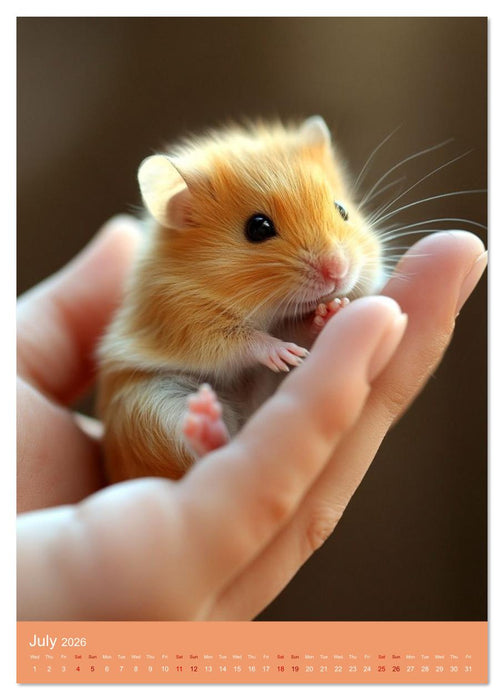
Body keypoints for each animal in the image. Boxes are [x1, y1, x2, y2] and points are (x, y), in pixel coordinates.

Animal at [96, 116, 384, 482]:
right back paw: (205, 421)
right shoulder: (184, 319)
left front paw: (332, 309)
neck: (270, 310)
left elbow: (301, 326)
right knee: (208, 453)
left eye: (342, 209)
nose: (338, 270)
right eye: (258, 228)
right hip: (149, 409)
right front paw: (284, 353)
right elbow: (242, 340)